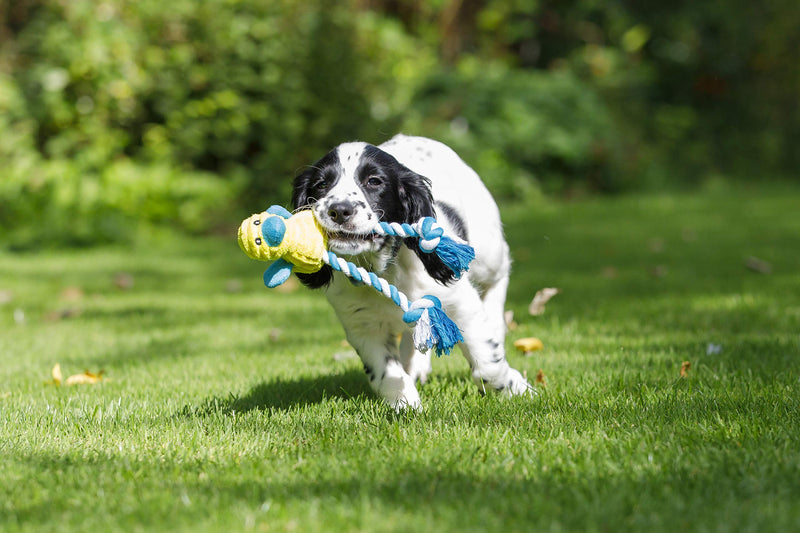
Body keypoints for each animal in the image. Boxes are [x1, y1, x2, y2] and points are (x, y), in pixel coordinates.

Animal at [290, 133, 532, 408]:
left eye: (374, 181)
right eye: (321, 185)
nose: (339, 210)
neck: (386, 269)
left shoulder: (462, 305)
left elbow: (488, 363)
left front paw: (517, 388)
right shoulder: (362, 325)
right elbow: (386, 373)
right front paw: (405, 403)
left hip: (488, 251)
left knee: (499, 274)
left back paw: (495, 320)